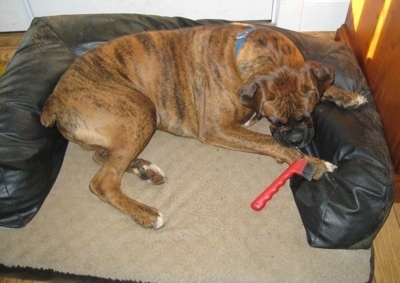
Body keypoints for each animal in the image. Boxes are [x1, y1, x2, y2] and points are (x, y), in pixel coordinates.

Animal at [39, 23, 366, 229]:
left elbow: (325, 83)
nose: (298, 138)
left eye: (309, 113)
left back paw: (145, 169)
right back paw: (146, 214)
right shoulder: (217, 128)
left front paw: (349, 96)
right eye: (275, 121)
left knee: (102, 156)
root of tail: (54, 98)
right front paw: (312, 163)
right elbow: (269, 142)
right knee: (103, 182)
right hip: (141, 111)